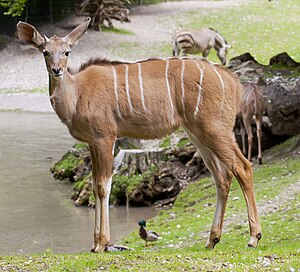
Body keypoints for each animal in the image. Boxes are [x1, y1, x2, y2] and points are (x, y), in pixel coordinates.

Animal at [16, 18, 262, 253]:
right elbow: (95, 184)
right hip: (198, 134)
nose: (57, 70)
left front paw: (101, 244)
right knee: (222, 177)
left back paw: (253, 237)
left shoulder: (105, 136)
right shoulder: (92, 142)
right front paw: (95, 244)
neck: (77, 94)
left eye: (67, 52)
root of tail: (233, 82)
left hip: (214, 129)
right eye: (45, 52)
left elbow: (103, 185)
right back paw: (212, 240)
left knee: (243, 167)